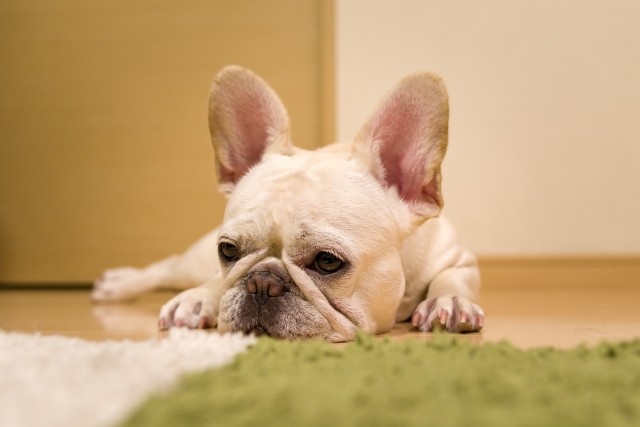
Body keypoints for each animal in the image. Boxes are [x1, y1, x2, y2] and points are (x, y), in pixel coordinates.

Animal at [92, 66, 482, 342]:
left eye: (328, 262)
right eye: (228, 251)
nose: (262, 282)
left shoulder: (458, 258)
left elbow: (451, 278)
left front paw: (448, 301)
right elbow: (218, 281)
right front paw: (202, 297)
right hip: (192, 261)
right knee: (167, 267)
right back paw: (124, 285)